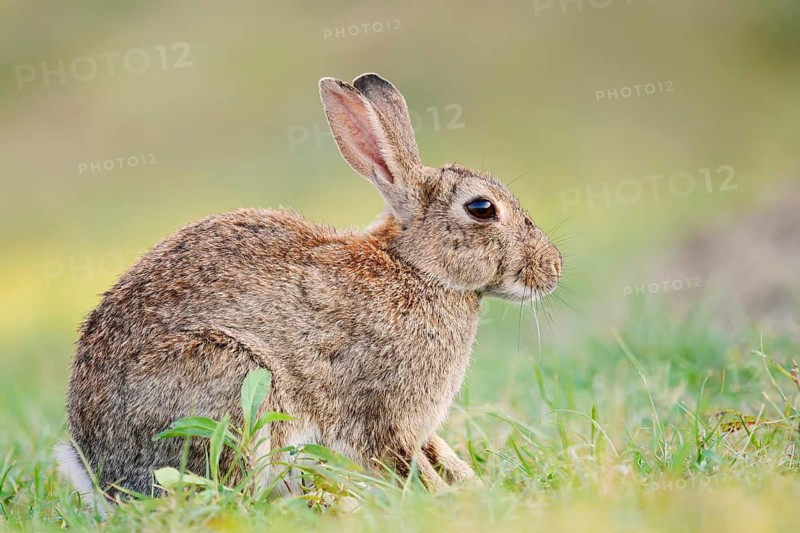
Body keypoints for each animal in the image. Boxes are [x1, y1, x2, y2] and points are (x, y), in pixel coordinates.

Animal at [56, 73, 562, 503]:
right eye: (481, 208)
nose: (553, 268)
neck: (417, 270)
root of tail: (100, 473)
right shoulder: (382, 414)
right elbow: (404, 460)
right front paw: (445, 500)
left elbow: (438, 452)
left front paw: (472, 486)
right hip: (231, 378)